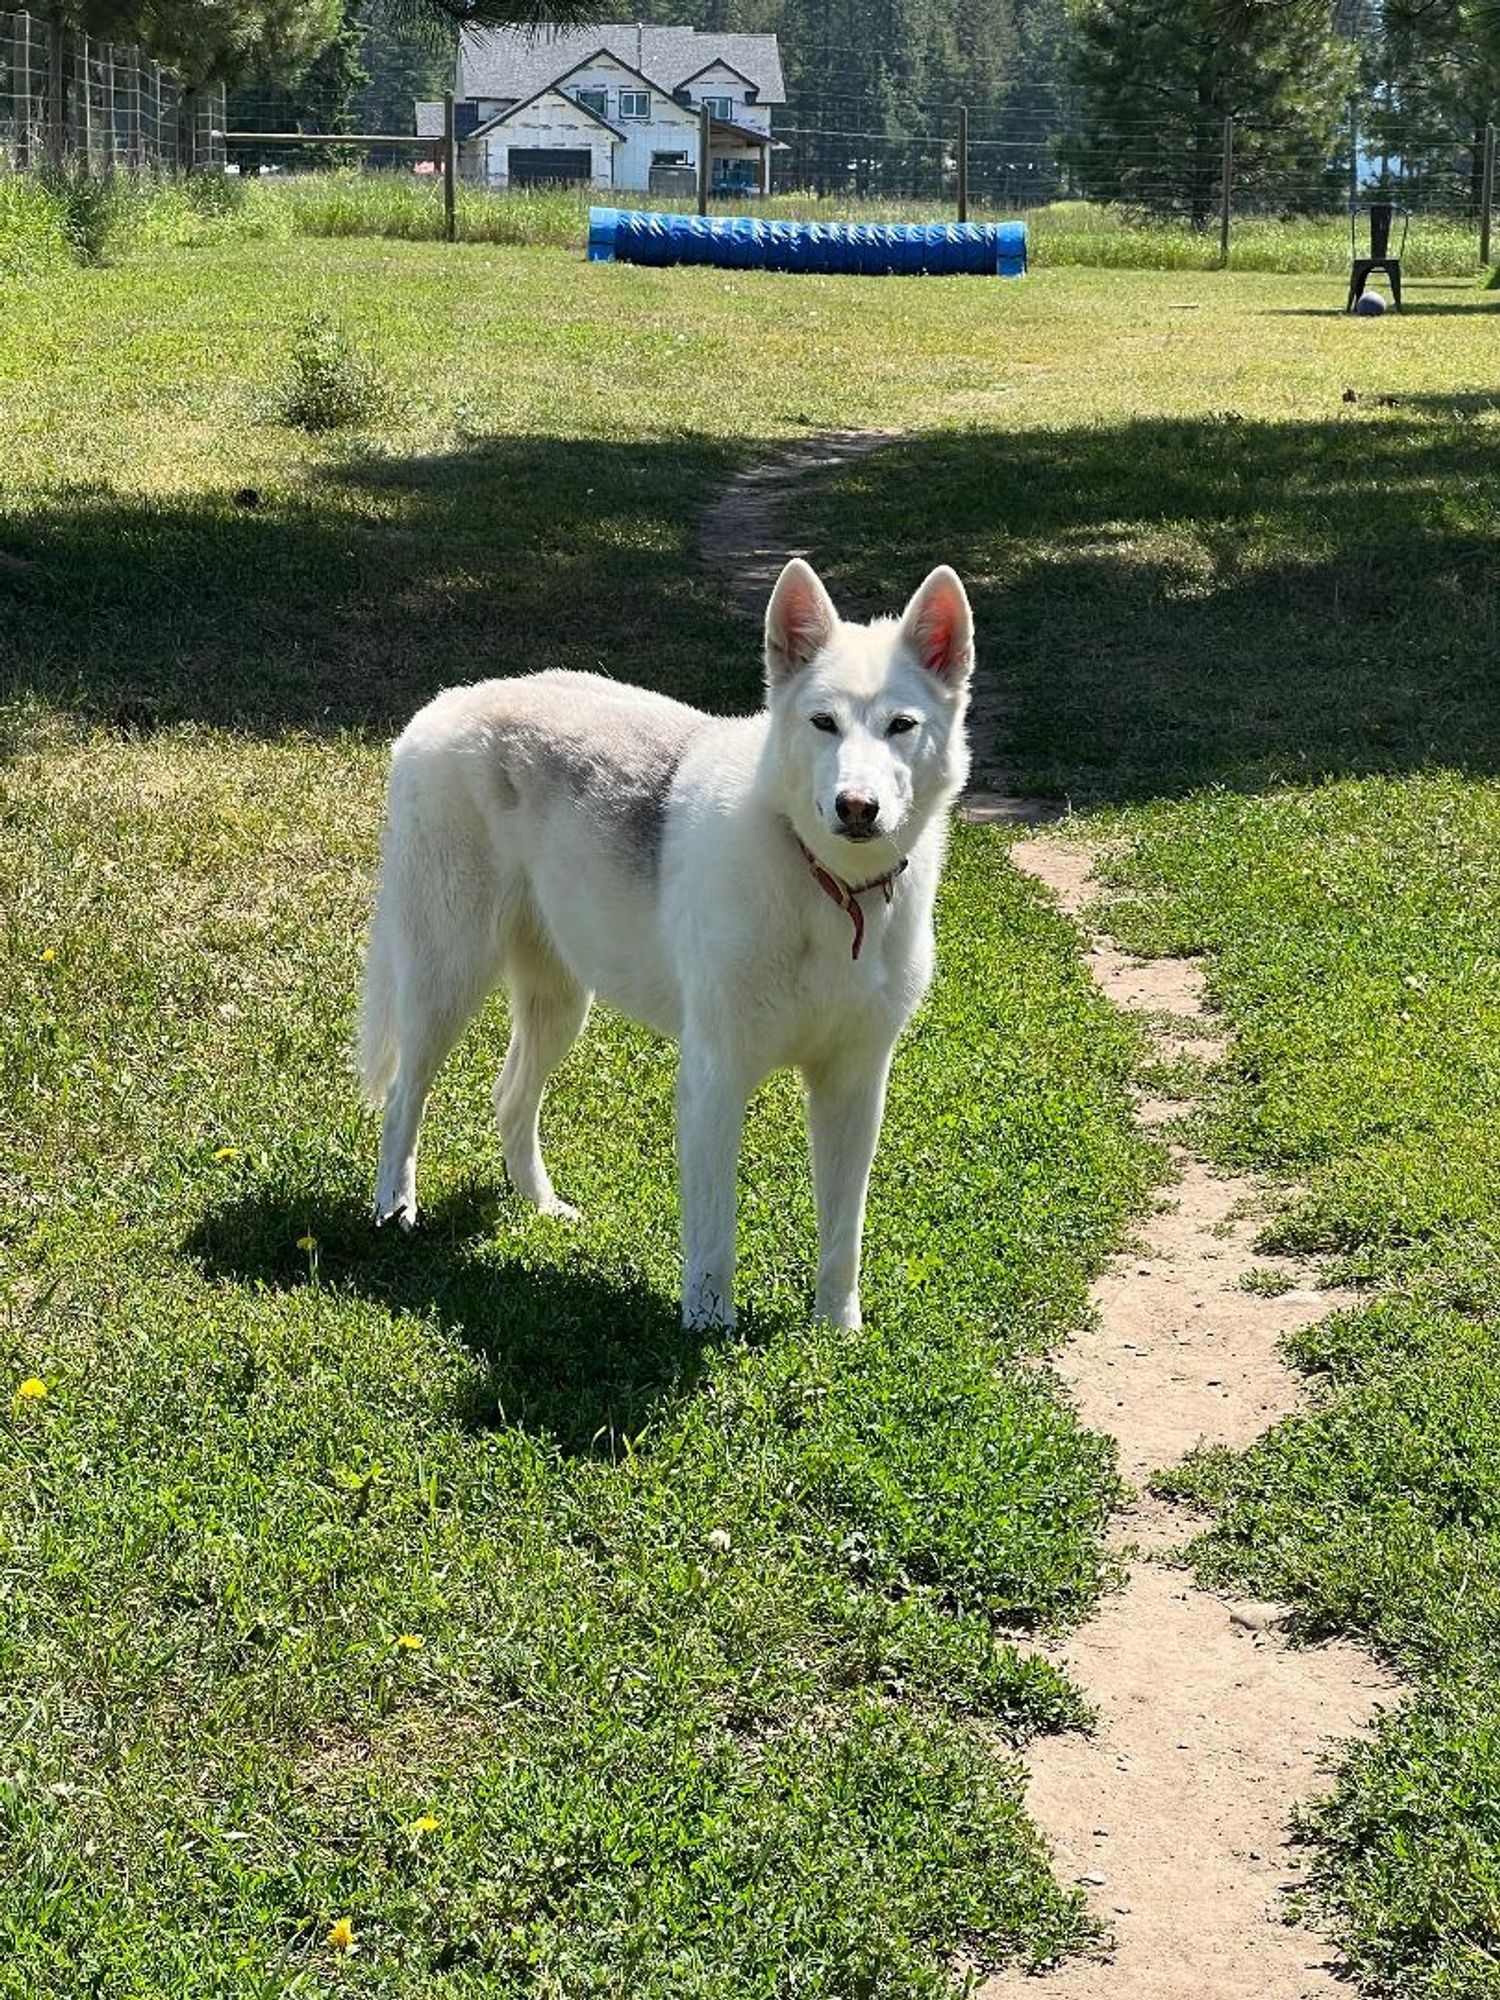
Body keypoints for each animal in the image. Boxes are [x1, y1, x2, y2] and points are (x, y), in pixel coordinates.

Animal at [362, 560, 976, 1328]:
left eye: (901, 726)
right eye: (823, 723)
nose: (856, 808)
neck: (829, 885)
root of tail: (444, 706)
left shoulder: (855, 1083)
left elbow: (843, 1233)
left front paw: (838, 1329)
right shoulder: (714, 1076)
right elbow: (714, 1227)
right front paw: (708, 1326)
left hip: (560, 1003)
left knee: (510, 1097)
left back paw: (541, 1208)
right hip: (445, 980)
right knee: (404, 1099)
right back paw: (395, 1208)